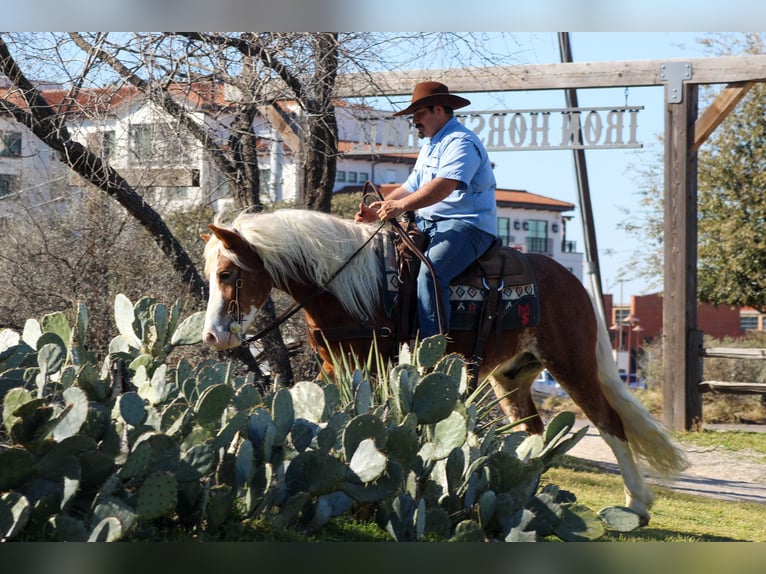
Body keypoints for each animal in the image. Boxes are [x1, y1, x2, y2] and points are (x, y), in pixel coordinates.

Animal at [202, 208, 688, 528]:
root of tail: (573, 282)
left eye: (227, 274)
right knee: (534, 432)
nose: (212, 337)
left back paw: (636, 504)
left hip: (572, 365)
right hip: (512, 377)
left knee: (610, 425)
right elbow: (316, 419)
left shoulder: (371, 366)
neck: (349, 285)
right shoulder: (332, 366)